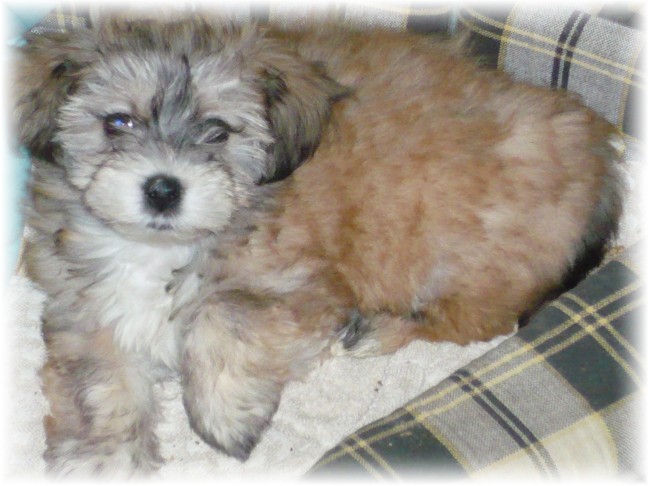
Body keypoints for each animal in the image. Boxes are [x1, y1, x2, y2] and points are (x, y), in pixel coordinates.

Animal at [14, 13, 621, 477]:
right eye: (117, 122)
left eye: (218, 130)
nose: (163, 189)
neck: (159, 250)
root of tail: (596, 152)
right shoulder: (84, 311)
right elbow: (99, 388)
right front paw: (99, 461)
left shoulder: (305, 288)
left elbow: (222, 310)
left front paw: (226, 414)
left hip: (466, 256)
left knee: (476, 320)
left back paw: (380, 330)